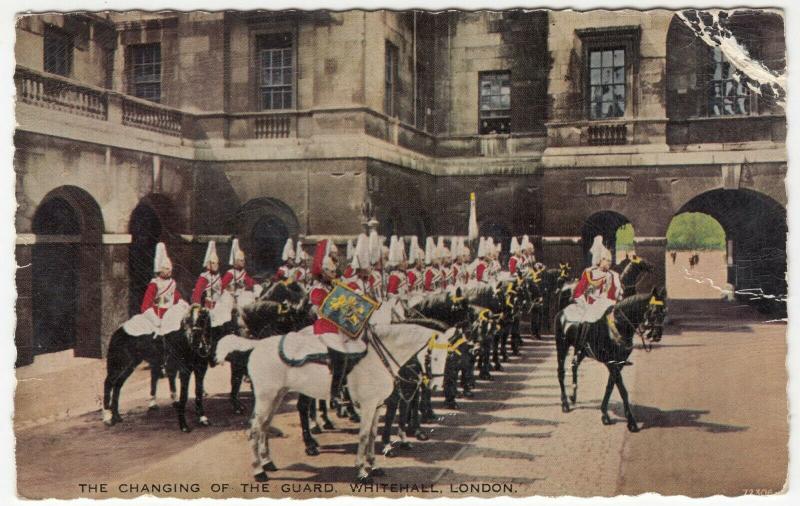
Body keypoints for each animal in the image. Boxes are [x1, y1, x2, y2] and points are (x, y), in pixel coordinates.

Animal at [217, 324, 456, 482]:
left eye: (447, 356)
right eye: (433, 356)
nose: (436, 386)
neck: (379, 357)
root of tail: (257, 345)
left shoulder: (377, 406)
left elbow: (372, 435)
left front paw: (374, 466)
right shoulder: (368, 405)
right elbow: (363, 436)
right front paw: (361, 471)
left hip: (277, 396)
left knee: (264, 427)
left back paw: (268, 462)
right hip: (266, 397)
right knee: (254, 429)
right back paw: (259, 471)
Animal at [552, 286, 664, 432]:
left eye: (664, 312)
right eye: (654, 312)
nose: (657, 335)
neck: (619, 325)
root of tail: (562, 311)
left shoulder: (618, 363)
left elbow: (610, 386)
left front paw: (604, 413)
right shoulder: (611, 363)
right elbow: (622, 390)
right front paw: (631, 422)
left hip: (581, 350)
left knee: (574, 365)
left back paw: (573, 396)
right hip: (562, 346)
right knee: (561, 372)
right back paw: (565, 403)